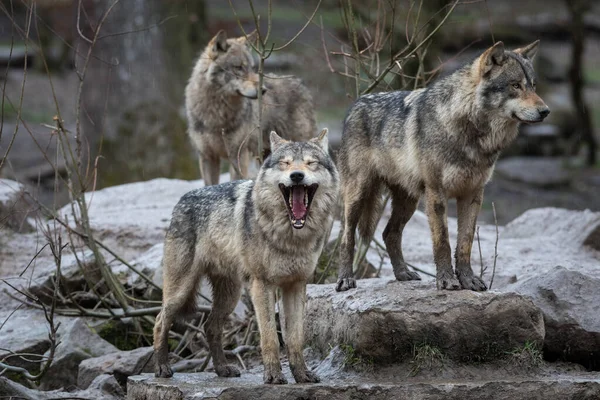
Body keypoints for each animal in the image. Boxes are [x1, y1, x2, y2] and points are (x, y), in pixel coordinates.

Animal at [152, 129, 340, 384]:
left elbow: (295, 338)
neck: (291, 236)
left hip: (230, 296)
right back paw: (162, 368)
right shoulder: (262, 285)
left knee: (210, 327)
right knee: (160, 321)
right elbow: (270, 337)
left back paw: (223, 369)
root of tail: (182, 199)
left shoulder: (296, 285)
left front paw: (302, 374)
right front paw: (273, 376)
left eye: (311, 163)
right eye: (285, 163)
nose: (297, 176)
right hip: (181, 291)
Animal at [186, 30, 318, 185]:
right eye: (238, 67)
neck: (217, 114)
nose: (263, 89)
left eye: (252, 68)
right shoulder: (207, 157)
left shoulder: (239, 156)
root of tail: (300, 82)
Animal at [336, 40, 552, 294]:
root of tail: (356, 104)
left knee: (389, 233)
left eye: (534, 86)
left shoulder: (473, 194)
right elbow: (443, 242)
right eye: (516, 85)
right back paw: (345, 280)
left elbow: (465, 243)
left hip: (409, 201)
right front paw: (447, 281)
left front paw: (468, 280)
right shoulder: (436, 193)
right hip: (358, 196)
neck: (470, 132)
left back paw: (402, 274)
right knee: (346, 237)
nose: (546, 111)